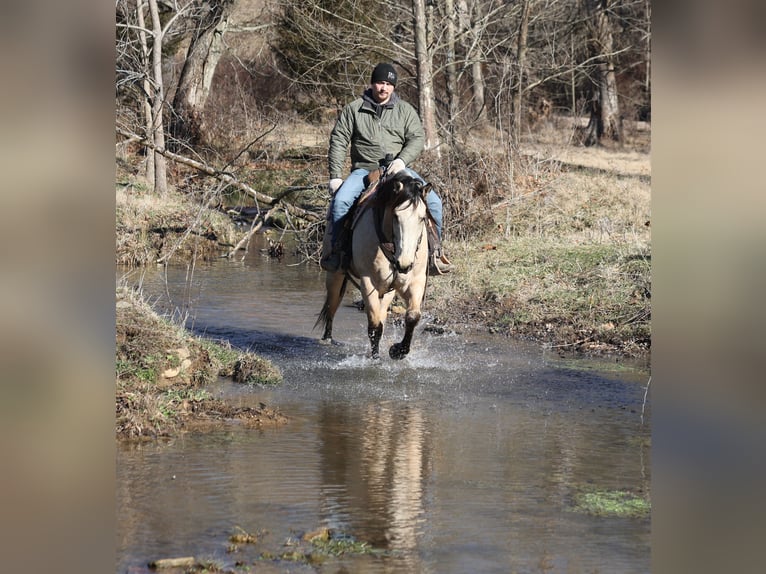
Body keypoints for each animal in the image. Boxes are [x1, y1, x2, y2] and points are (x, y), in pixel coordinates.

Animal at [315, 171, 430, 360]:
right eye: (396, 216)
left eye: (422, 218)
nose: (404, 264)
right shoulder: (368, 282)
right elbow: (375, 327)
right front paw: (376, 358)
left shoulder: (415, 282)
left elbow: (412, 317)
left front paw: (398, 351)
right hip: (335, 275)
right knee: (332, 305)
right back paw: (327, 339)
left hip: (388, 290)